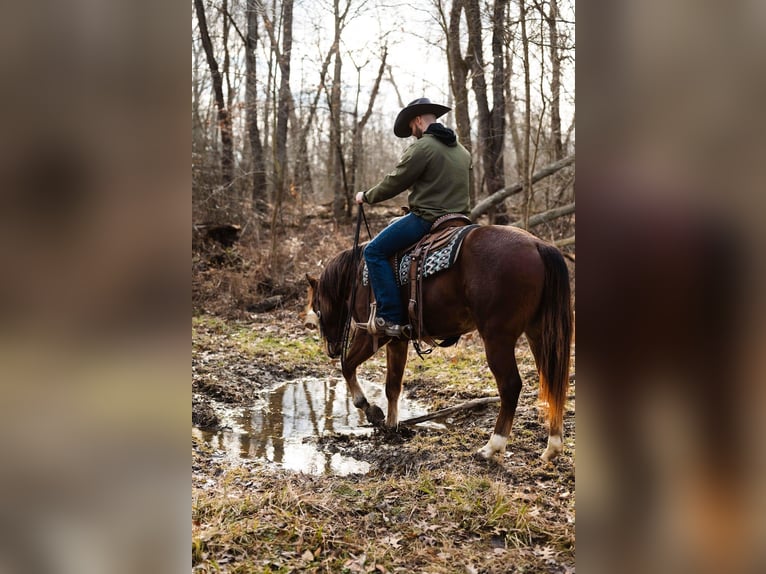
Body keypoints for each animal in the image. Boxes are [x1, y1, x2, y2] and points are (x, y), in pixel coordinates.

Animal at [305, 224, 573, 462]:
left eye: (317, 308)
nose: (332, 349)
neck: (358, 277)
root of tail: (538, 245)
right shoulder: (397, 340)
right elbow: (392, 386)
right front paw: (392, 426)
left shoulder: (372, 335)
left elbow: (347, 366)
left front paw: (369, 409)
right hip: (538, 334)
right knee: (551, 381)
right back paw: (553, 447)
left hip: (497, 338)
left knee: (510, 387)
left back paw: (492, 447)